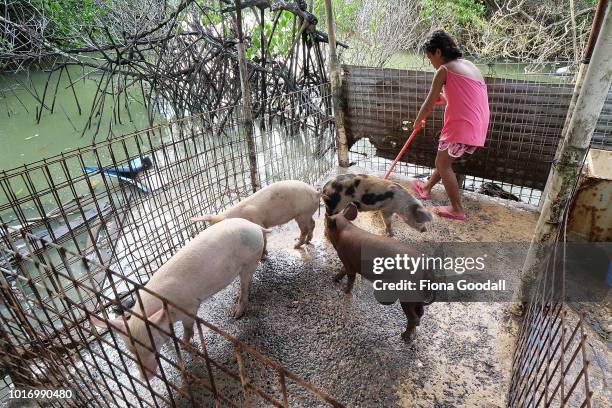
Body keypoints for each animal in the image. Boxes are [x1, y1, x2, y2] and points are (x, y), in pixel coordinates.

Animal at [90, 218, 266, 380]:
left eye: (151, 346)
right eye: (131, 350)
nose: (144, 377)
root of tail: (255, 226)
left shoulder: (189, 307)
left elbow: (188, 327)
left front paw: (185, 343)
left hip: (249, 260)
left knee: (245, 284)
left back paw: (236, 314)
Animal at [322, 204, 432, 342]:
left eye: (326, 225)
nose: (324, 233)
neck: (343, 231)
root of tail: (426, 268)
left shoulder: (348, 263)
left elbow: (350, 279)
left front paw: (344, 291)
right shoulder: (348, 263)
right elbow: (342, 271)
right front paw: (334, 279)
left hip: (407, 295)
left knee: (414, 319)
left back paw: (404, 337)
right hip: (417, 298)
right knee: (420, 314)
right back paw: (413, 335)